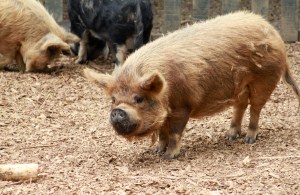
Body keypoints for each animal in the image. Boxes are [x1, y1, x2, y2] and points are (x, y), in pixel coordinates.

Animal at [84, 10, 300, 159]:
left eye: (138, 98)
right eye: (113, 99)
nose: (117, 111)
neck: (166, 92)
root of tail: (275, 34)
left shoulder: (182, 106)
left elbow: (174, 133)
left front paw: (169, 157)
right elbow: (162, 132)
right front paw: (156, 151)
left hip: (265, 80)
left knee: (255, 108)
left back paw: (249, 139)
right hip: (239, 87)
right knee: (240, 106)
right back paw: (230, 136)